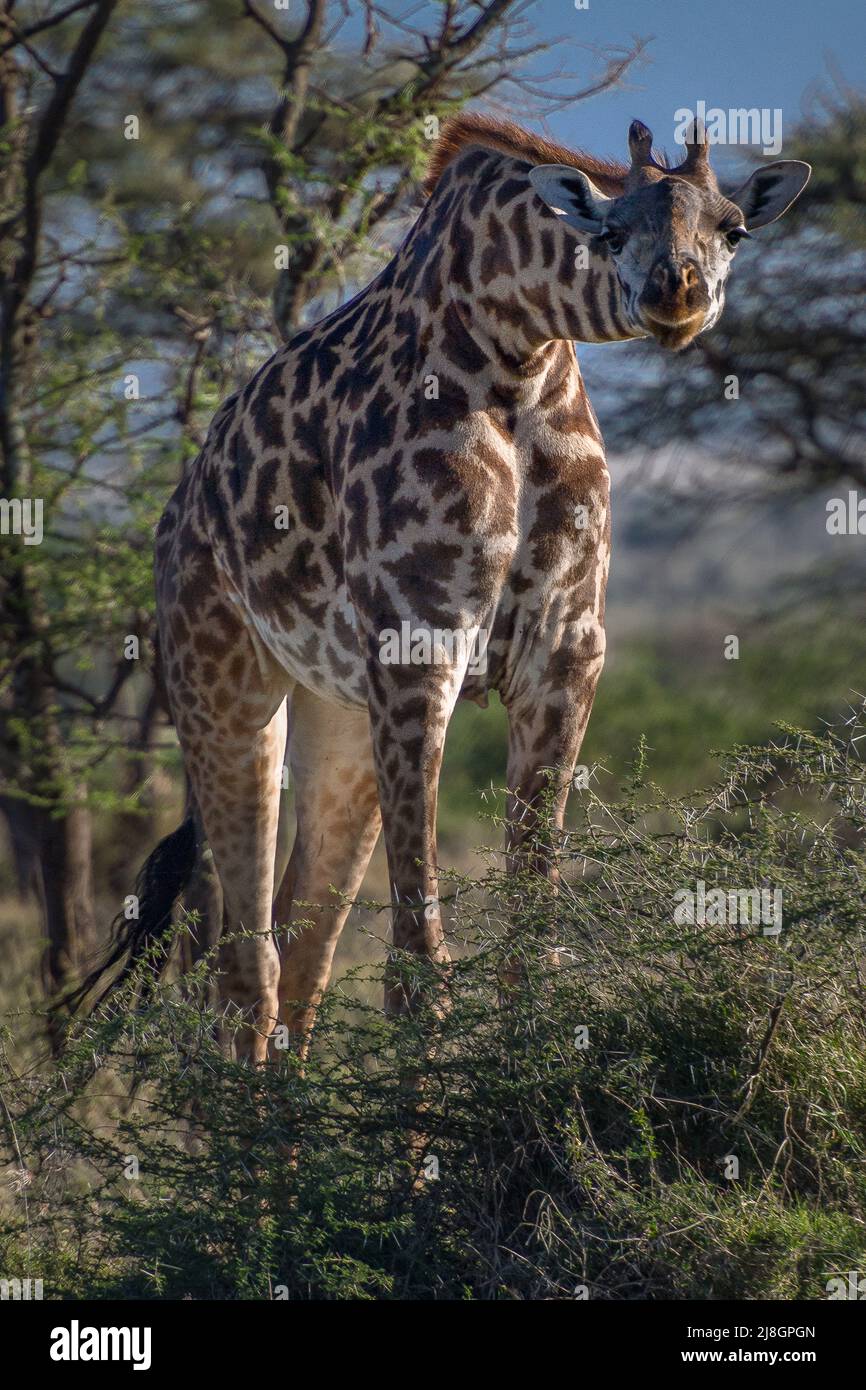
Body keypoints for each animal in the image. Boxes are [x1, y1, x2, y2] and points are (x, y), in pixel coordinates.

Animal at [109, 113, 811, 1061]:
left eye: (733, 228)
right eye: (610, 230)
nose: (678, 293)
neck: (517, 358)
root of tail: (175, 515)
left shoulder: (566, 653)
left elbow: (528, 950)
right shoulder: (420, 647)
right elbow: (417, 969)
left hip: (339, 714)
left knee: (302, 959)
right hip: (222, 685)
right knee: (246, 970)